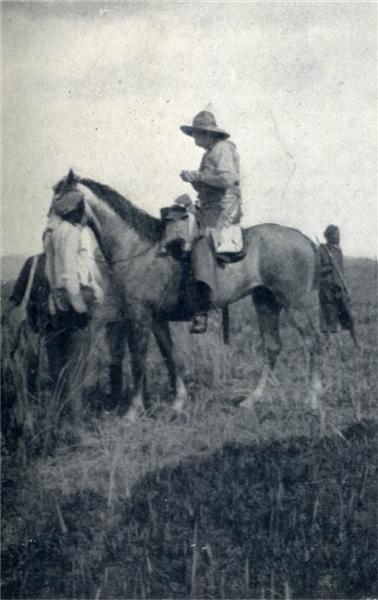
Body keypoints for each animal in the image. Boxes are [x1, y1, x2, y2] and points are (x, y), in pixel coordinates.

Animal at [51, 171, 320, 420]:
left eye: (64, 200)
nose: (50, 230)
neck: (138, 249)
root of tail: (304, 239)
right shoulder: (157, 319)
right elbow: (169, 355)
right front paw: (178, 403)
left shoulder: (139, 316)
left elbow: (138, 359)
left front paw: (133, 411)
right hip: (265, 301)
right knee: (272, 346)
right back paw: (251, 400)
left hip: (295, 304)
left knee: (311, 342)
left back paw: (312, 399)